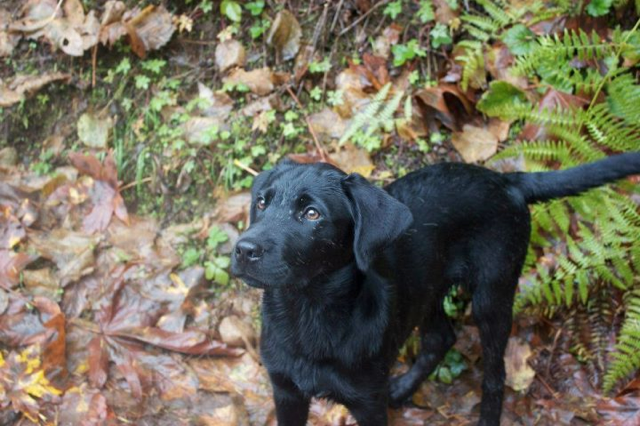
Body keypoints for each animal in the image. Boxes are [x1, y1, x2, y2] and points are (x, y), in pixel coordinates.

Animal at [230, 154, 640, 426]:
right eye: (261, 202)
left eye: (311, 214)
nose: (243, 250)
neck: (307, 312)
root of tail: (509, 181)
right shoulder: (286, 391)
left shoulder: (366, 402)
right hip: (427, 287)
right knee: (441, 336)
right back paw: (402, 389)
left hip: (493, 292)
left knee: (495, 374)